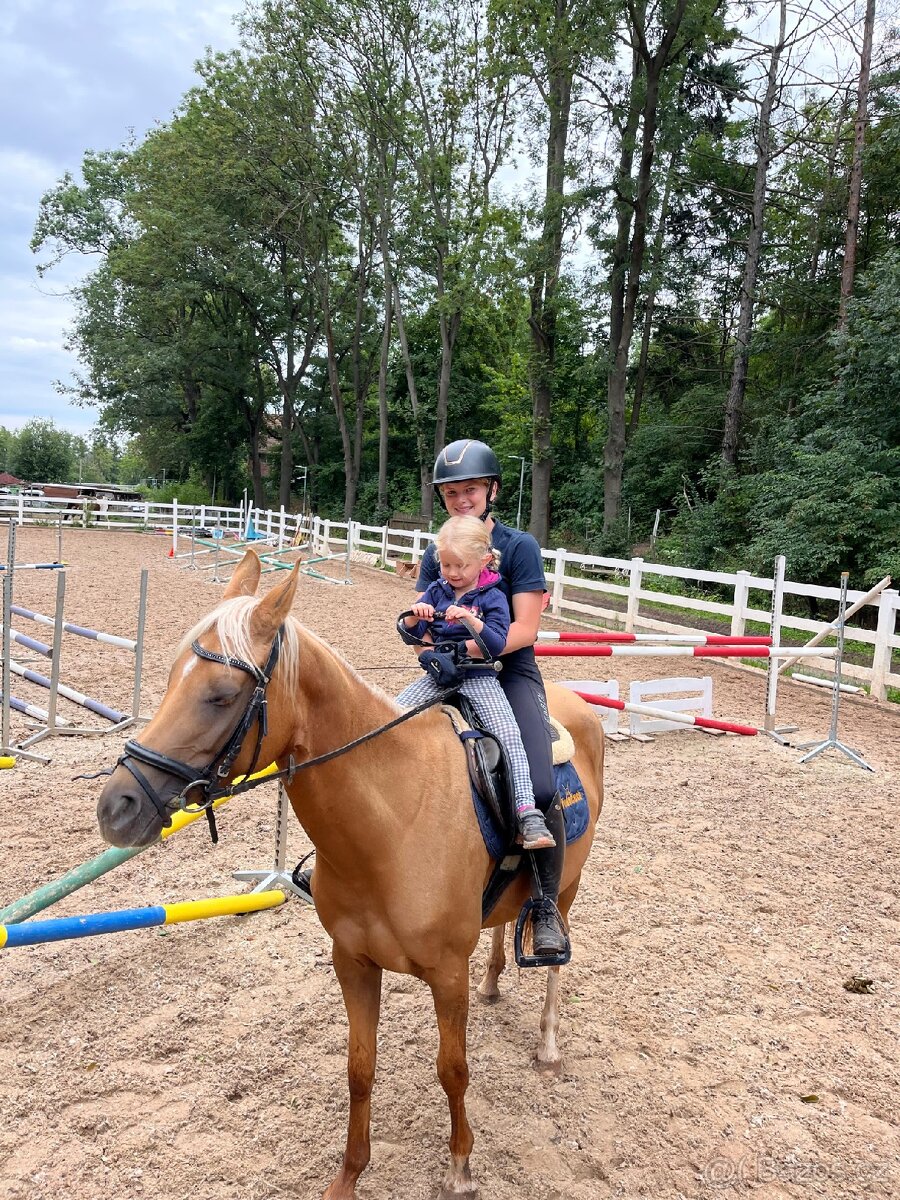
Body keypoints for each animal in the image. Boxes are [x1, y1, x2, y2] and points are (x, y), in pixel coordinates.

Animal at [96, 551, 604, 1199]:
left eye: (220, 695)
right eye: (168, 679)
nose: (118, 807)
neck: (393, 822)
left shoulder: (446, 974)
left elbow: (453, 1070)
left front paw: (460, 1166)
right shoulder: (353, 962)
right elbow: (359, 1070)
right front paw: (348, 1176)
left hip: (567, 888)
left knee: (555, 954)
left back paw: (547, 1042)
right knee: (500, 925)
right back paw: (494, 984)